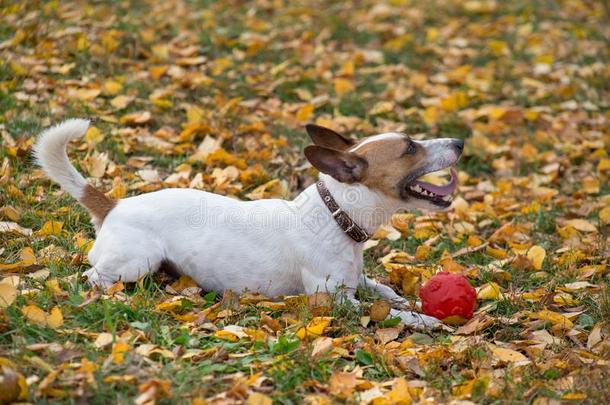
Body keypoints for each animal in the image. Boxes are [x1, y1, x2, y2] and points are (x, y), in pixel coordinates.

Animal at [34, 120, 460, 328]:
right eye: (410, 147)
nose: (459, 142)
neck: (334, 214)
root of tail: (114, 205)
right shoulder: (333, 301)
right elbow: (386, 313)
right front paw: (423, 319)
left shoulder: (356, 281)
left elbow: (383, 290)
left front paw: (401, 297)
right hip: (135, 262)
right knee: (93, 276)